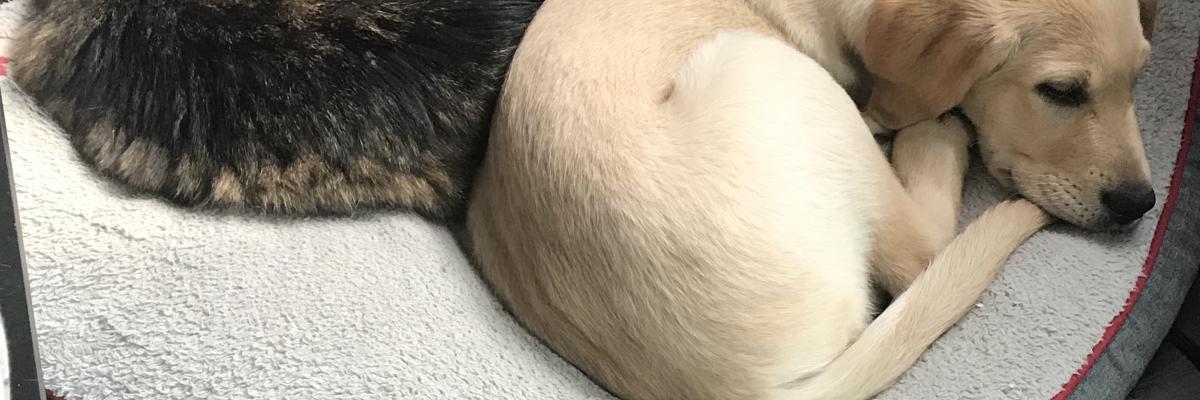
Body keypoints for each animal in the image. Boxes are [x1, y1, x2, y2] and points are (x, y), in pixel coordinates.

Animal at [465, 0, 1152, 398]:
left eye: (1140, 78)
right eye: (1060, 90)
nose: (1140, 203)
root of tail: (743, 389)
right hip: (774, 71)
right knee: (923, 251)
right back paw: (934, 135)